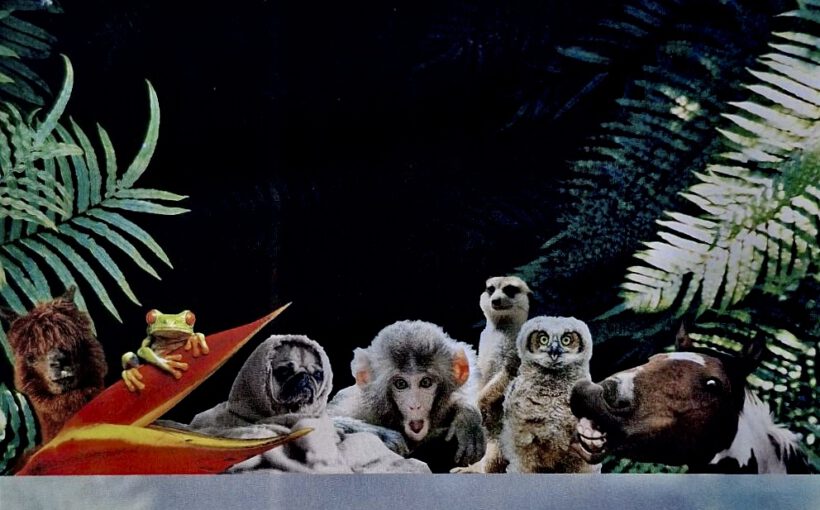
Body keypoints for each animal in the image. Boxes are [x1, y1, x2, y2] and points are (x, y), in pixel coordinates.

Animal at [327, 320, 486, 472]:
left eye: (425, 382)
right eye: (401, 384)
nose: (414, 406)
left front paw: (467, 417)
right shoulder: (357, 408)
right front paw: (383, 435)